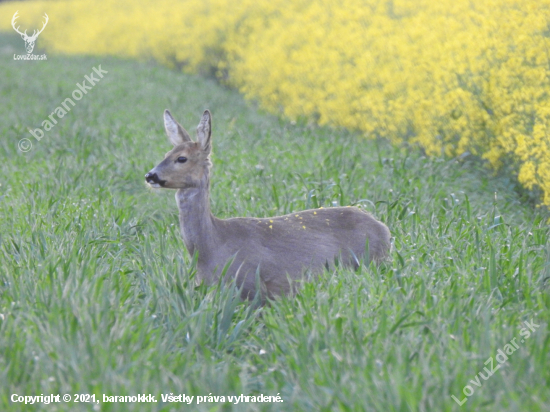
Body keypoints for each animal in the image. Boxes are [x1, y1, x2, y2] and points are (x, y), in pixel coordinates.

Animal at [144, 109, 390, 300]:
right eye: (166, 153)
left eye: (182, 158)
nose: (150, 175)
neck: (212, 246)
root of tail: (385, 229)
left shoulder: (252, 285)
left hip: (369, 262)